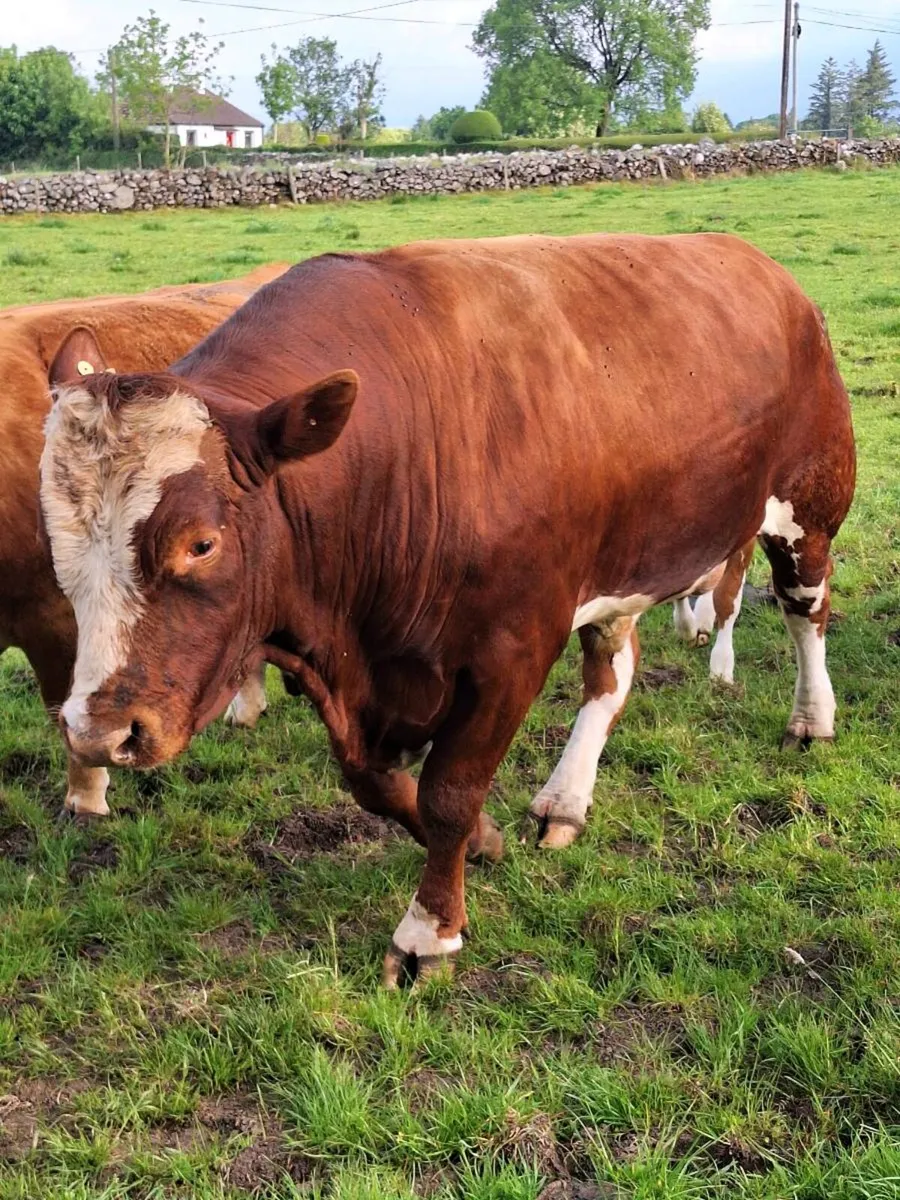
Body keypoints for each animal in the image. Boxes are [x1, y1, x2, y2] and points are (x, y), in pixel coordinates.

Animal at [38, 233, 856, 983]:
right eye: (55, 535)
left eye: (201, 544)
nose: (98, 731)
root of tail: (759, 265)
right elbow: (376, 786)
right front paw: (488, 842)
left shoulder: (512, 652)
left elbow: (449, 795)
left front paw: (429, 932)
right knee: (613, 671)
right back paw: (566, 798)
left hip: (809, 508)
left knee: (805, 612)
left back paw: (811, 718)